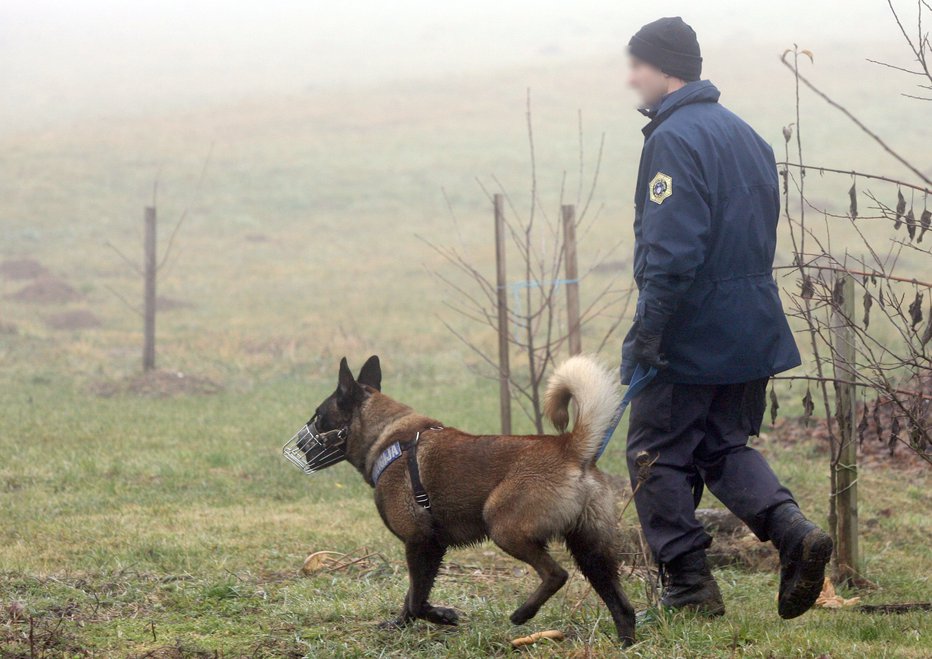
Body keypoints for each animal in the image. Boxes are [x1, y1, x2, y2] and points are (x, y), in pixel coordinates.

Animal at [302, 356, 636, 644]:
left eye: (319, 416)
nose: (303, 449)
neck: (387, 438)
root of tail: (570, 447)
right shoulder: (429, 546)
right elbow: (412, 596)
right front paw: (401, 623)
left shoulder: (421, 542)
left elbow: (416, 598)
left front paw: (442, 615)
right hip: (590, 551)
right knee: (622, 606)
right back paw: (625, 643)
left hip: (503, 527)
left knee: (556, 574)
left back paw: (522, 614)